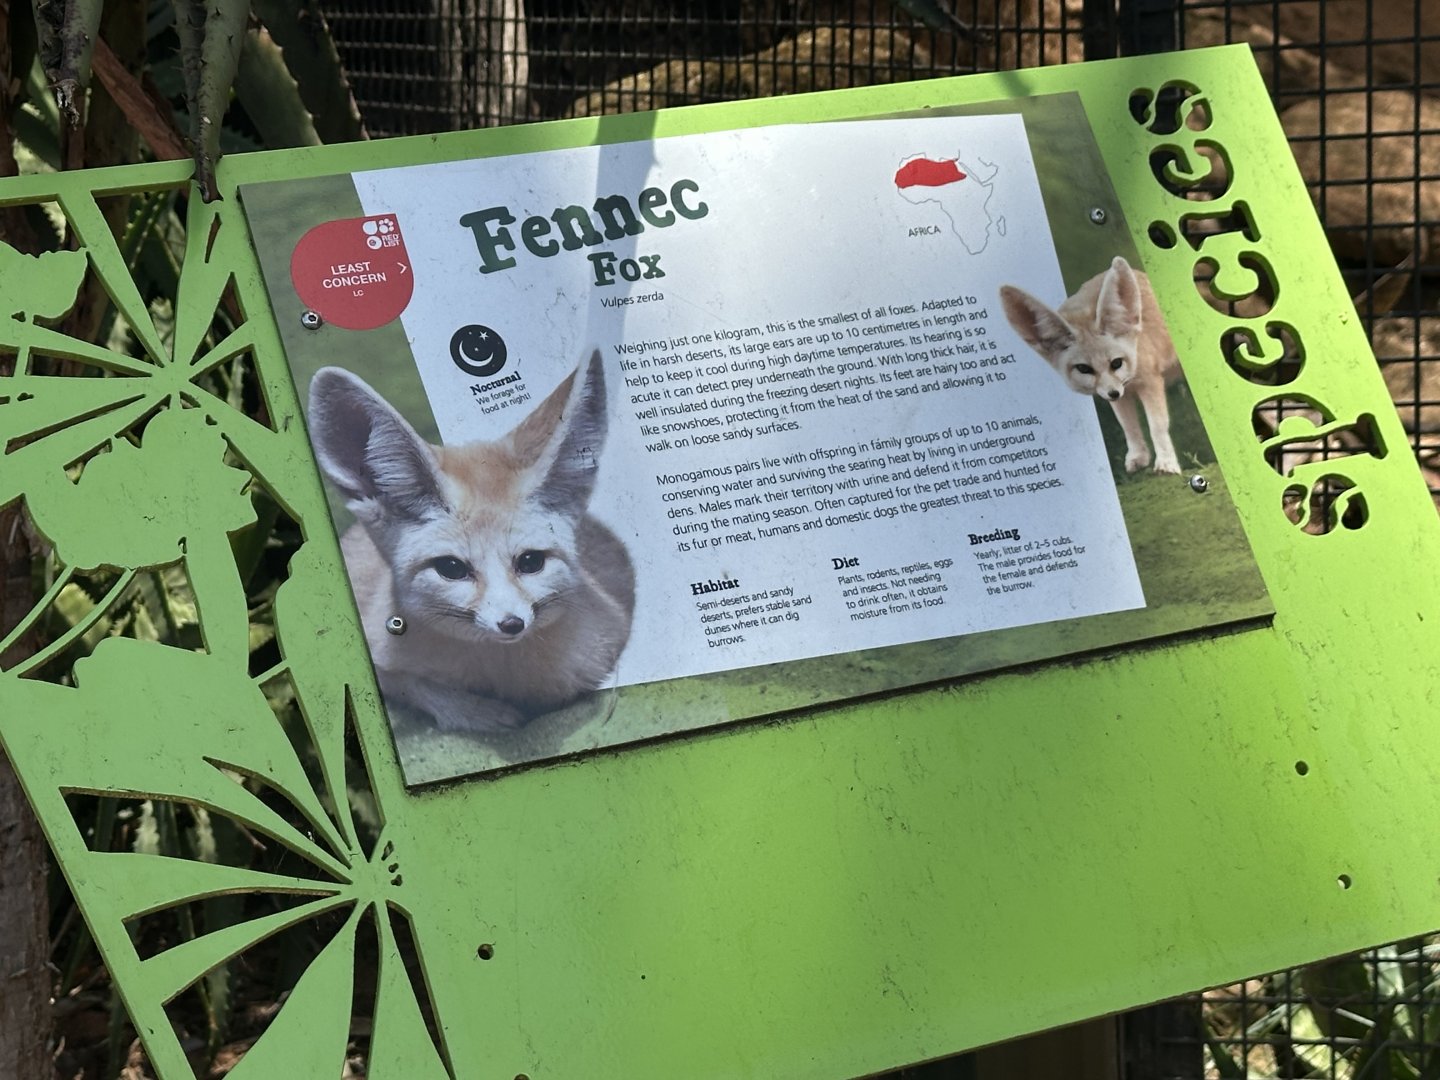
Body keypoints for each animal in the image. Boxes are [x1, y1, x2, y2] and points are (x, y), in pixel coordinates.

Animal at [306, 350, 635, 735]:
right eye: (451, 568)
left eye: (530, 562)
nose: (512, 623)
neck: (502, 673)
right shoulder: (378, 655)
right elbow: (417, 686)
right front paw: (479, 712)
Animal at [999, 255, 1182, 475]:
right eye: (1084, 369)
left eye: (1116, 363)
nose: (1113, 393)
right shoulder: (1121, 394)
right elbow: (1128, 427)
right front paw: (1138, 456)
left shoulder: (1149, 382)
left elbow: (1157, 426)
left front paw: (1166, 463)